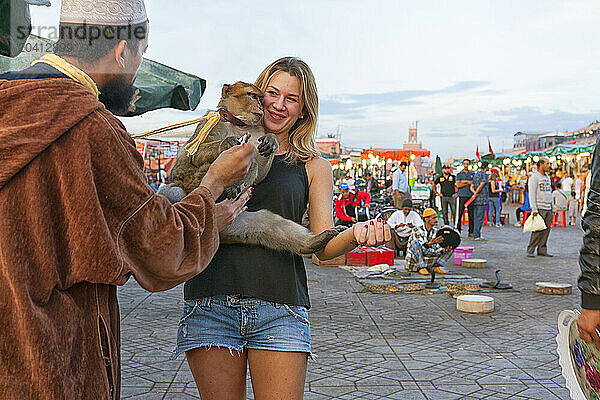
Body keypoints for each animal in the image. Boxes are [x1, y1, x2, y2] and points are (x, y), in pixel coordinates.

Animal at [158, 82, 338, 256]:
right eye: (252, 96)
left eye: (261, 98)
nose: (260, 106)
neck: (239, 124)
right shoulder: (214, 123)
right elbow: (193, 155)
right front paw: (228, 143)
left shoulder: (258, 131)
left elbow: (260, 172)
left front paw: (272, 141)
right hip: (195, 184)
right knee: (175, 191)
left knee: (266, 221)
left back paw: (312, 243)